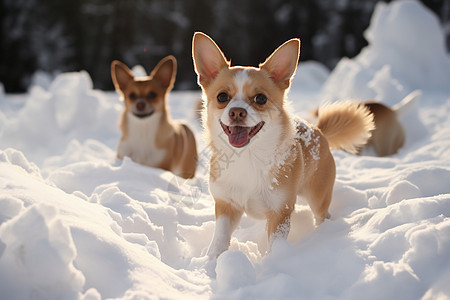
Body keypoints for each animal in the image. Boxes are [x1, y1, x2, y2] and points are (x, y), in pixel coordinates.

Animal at [192, 32, 374, 258]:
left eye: (260, 98)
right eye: (222, 97)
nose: (237, 112)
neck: (248, 157)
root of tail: (318, 130)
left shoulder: (280, 211)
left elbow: (275, 245)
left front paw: (273, 262)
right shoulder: (226, 205)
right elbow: (219, 239)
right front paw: (211, 261)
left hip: (318, 197)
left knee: (322, 214)